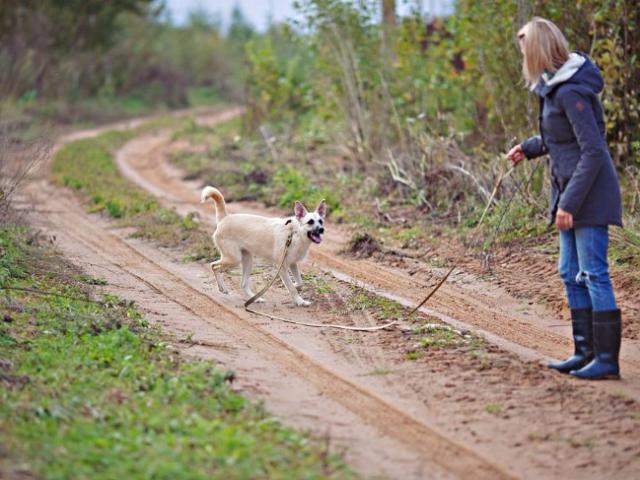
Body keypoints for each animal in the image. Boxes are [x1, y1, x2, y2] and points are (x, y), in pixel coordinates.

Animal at [200, 186, 328, 306]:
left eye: (321, 221)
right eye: (310, 222)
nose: (321, 229)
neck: (295, 233)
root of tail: (225, 218)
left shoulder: (293, 264)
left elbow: (299, 283)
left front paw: (296, 285)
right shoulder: (282, 267)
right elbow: (291, 288)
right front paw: (300, 301)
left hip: (248, 260)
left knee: (243, 284)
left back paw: (255, 299)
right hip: (234, 259)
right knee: (213, 266)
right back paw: (223, 288)